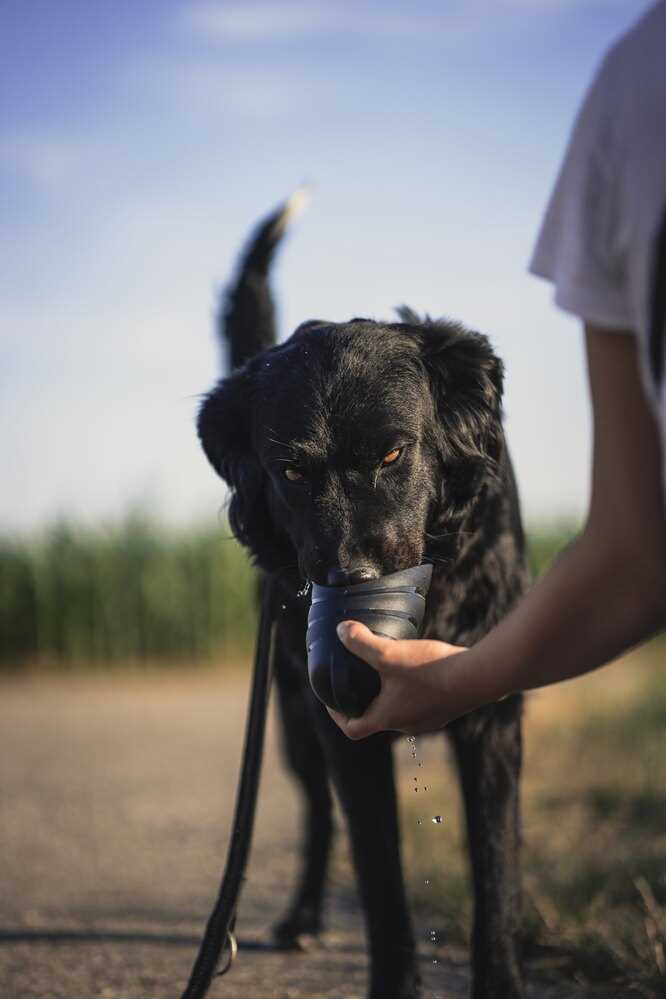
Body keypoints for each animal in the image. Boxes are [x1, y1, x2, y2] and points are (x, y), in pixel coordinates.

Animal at [195, 197, 528, 999]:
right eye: (290, 471)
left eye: (393, 452)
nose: (351, 579)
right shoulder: (342, 725)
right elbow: (382, 885)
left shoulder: (494, 712)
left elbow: (495, 869)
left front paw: (504, 970)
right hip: (291, 715)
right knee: (318, 815)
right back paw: (303, 915)